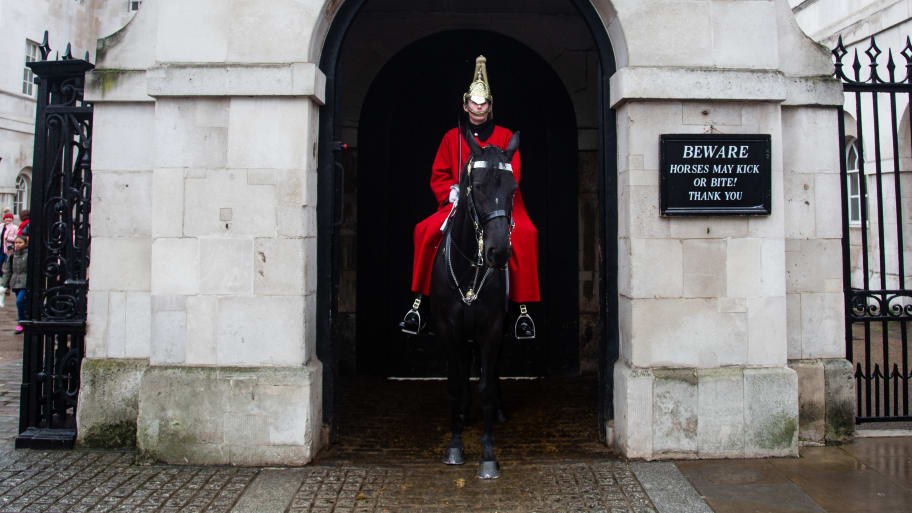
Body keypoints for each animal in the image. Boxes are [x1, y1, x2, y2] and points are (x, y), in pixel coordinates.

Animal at [430, 127, 520, 476]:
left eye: (513, 188)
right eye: (477, 186)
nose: (499, 252)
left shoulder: (491, 329)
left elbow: (485, 388)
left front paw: (488, 454)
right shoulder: (448, 328)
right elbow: (456, 384)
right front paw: (455, 445)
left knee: (490, 372)